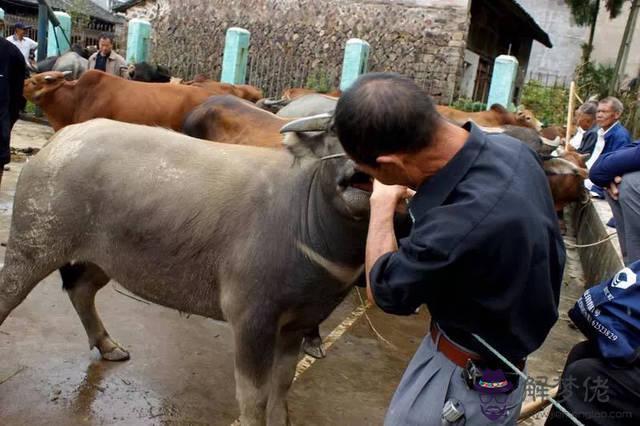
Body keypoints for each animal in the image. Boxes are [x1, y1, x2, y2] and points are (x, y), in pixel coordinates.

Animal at [0, 117, 372, 426]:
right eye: (336, 131)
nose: (359, 170)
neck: (304, 213)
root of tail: (58, 141)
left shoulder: (298, 324)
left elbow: (282, 387)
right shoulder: (253, 320)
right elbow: (254, 398)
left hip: (102, 260)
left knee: (81, 291)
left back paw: (108, 345)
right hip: (31, 248)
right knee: (9, 294)